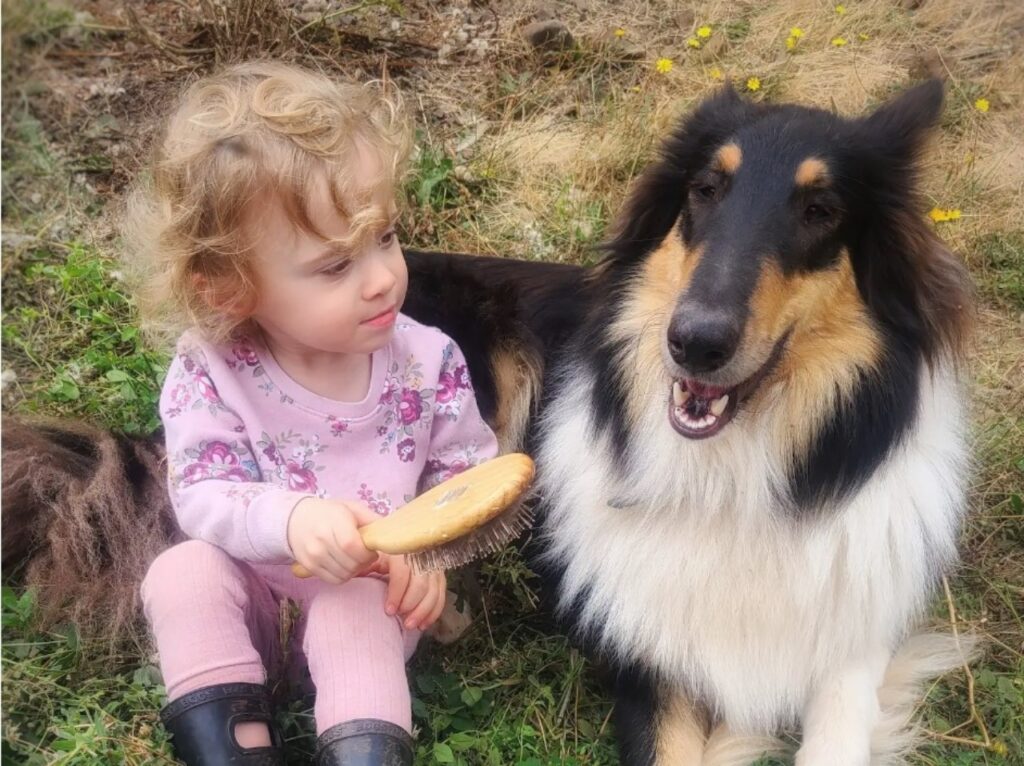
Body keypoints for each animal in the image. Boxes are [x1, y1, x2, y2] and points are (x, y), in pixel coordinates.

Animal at [4, 79, 970, 766]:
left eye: (821, 210)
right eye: (705, 189)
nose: (693, 343)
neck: (745, 473)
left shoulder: (855, 634)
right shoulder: (646, 665)